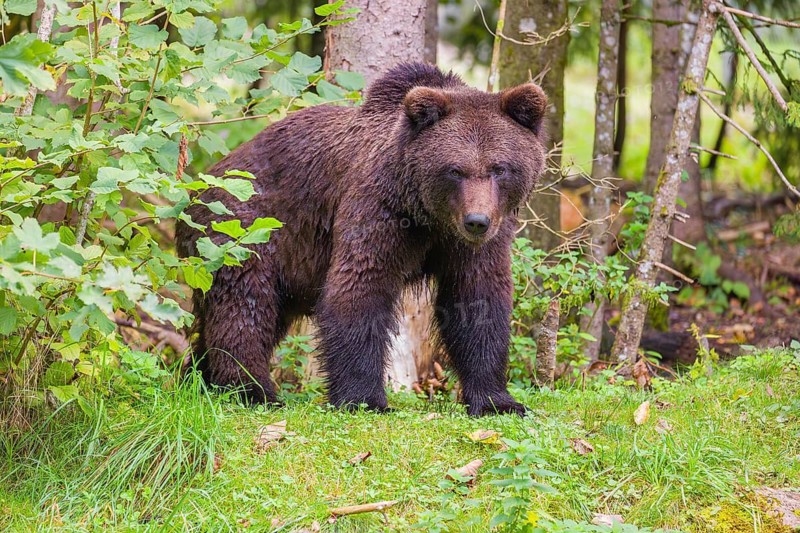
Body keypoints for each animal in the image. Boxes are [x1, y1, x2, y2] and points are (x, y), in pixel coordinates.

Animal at [176, 62, 548, 416]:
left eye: (499, 168)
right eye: (455, 170)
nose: (477, 221)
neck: (427, 215)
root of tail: (196, 187)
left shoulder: (473, 240)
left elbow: (477, 300)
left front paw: (497, 400)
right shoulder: (378, 209)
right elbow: (360, 286)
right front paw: (363, 398)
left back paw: (201, 379)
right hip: (243, 230)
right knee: (244, 309)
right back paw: (251, 390)